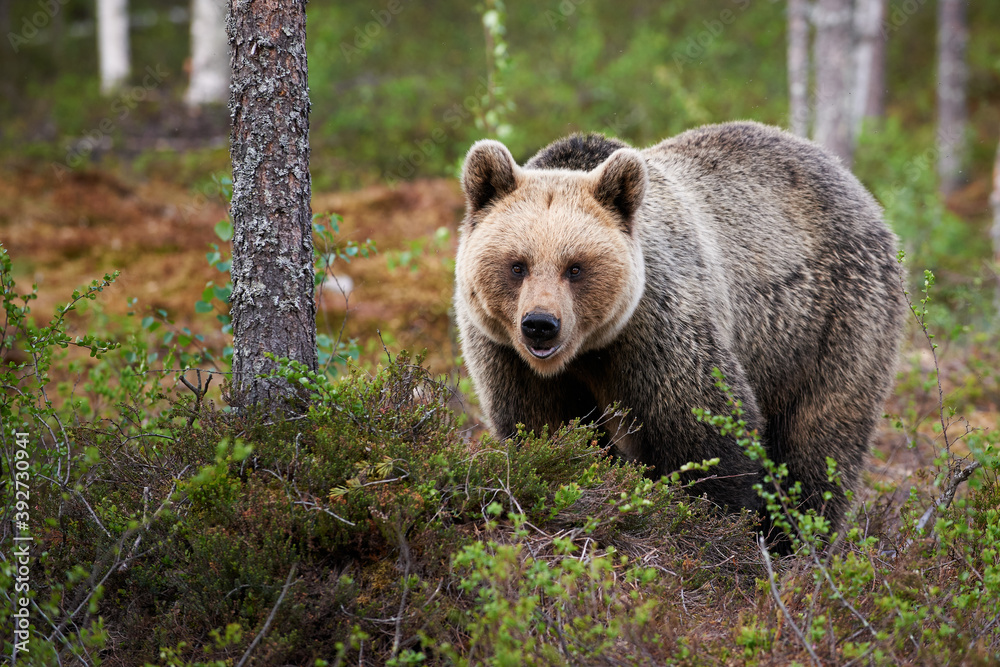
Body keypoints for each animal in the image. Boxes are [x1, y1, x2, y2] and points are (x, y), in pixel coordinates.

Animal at [454, 121, 905, 539]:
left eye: (575, 267)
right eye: (517, 265)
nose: (540, 325)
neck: (590, 350)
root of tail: (854, 185)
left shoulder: (661, 329)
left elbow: (705, 432)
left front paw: (713, 524)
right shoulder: (508, 356)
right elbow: (543, 430)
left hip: (831, 325)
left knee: (818, 441)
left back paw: (796, 538)